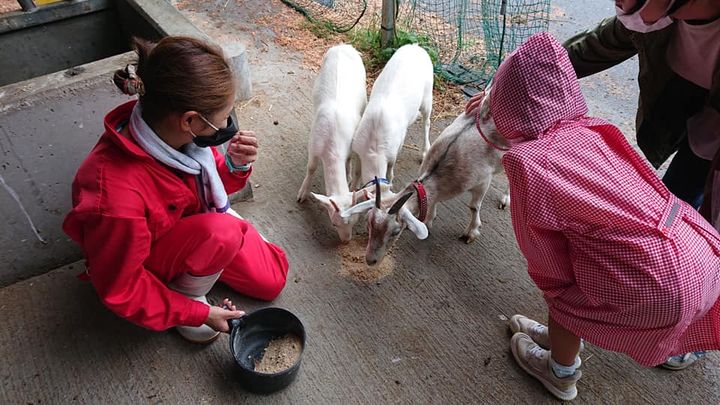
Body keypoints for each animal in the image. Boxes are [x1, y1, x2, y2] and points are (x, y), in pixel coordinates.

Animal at [296, 45, 366, 240]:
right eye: (334, 223)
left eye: (355, 221)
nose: (346, 241)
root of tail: (344, 45)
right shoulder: (313, 146)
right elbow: (311, 168)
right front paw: (302, 194)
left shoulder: (352, 146)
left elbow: (355, 168)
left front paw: (352, 181)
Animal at [342, 89, 506, 264]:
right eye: (369, 222)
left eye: (396, 231)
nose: (370, 260)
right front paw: (429, 220)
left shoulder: (483, 181)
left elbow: (474, 206)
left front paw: (471, 233)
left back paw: (505, 199)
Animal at [350, 43, 434, 189]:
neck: (374, 151)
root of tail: (416, 46)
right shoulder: (358, 150)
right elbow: (356, 172)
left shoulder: (392, 153)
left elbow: (390, 171)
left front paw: (390, 181)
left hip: (428, 96)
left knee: (427, 121)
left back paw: (425, 151)